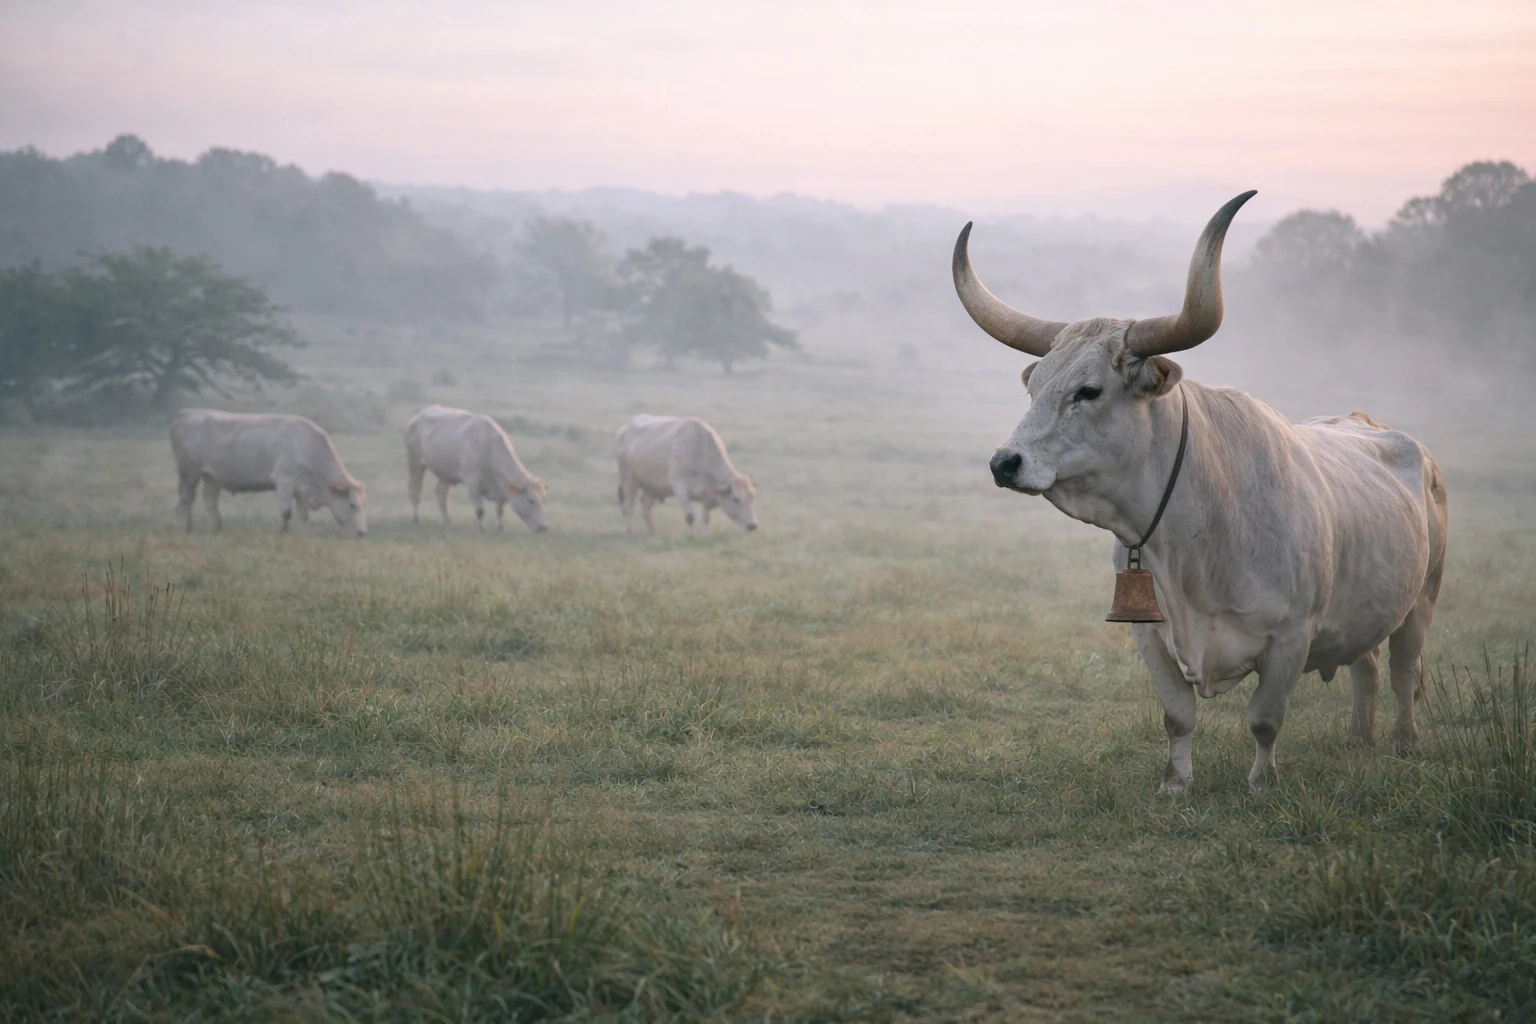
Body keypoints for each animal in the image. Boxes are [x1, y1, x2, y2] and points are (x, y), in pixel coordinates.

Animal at [170, 409, 367, 536]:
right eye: (352, 505)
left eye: (362, 504)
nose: (362, 532)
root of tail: (186, 413)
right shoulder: (285, 481)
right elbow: (286, 512)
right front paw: (283, 531)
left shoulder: (301, 489)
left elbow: (303, 514)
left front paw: (304, 532)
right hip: (189, 473)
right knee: (186, 499)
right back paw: (187, 528)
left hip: (211, 477)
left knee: (210, 502)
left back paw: (217, 528)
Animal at [405, 404, 548, 533]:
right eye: (531, 500)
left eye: (543, 499)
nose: (543, 527)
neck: (490, 448)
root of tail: (421, 412)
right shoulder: (472, 481)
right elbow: (479, 509)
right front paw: (481, 528)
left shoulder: (500, 488)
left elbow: (499, 510)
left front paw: (500, 528)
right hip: (415, 462)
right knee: (415, 490)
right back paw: (416, 518)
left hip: (447, 472)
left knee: (442, 493)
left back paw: (446, 520)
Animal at [616, 415, 758, 535]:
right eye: (736, 499)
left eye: (752, 497)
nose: (752, 525)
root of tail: (624, 429)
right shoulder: (680, 486)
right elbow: (689, 516)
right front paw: (690, 536)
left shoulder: (707, 494)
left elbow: (706, 518)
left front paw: (704, 536)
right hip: (629, 479)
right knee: (628, 505)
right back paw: (629, 530)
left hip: (652, 486)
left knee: (646, 507)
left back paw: (652, 532)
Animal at [954, 191, 1448, 791]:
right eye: (1034, 386)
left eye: (1089, 391)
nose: (1005, 463)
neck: (1200, 533)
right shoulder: (1150, 637)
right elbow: (1177, 715)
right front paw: (1175, 783)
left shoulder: (1291, 637)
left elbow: (1264, 719)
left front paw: (1261, 783)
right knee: (1367, 668)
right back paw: (1358, 740)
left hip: (1422, 600)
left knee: (1402, 672)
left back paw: (1405, 743)